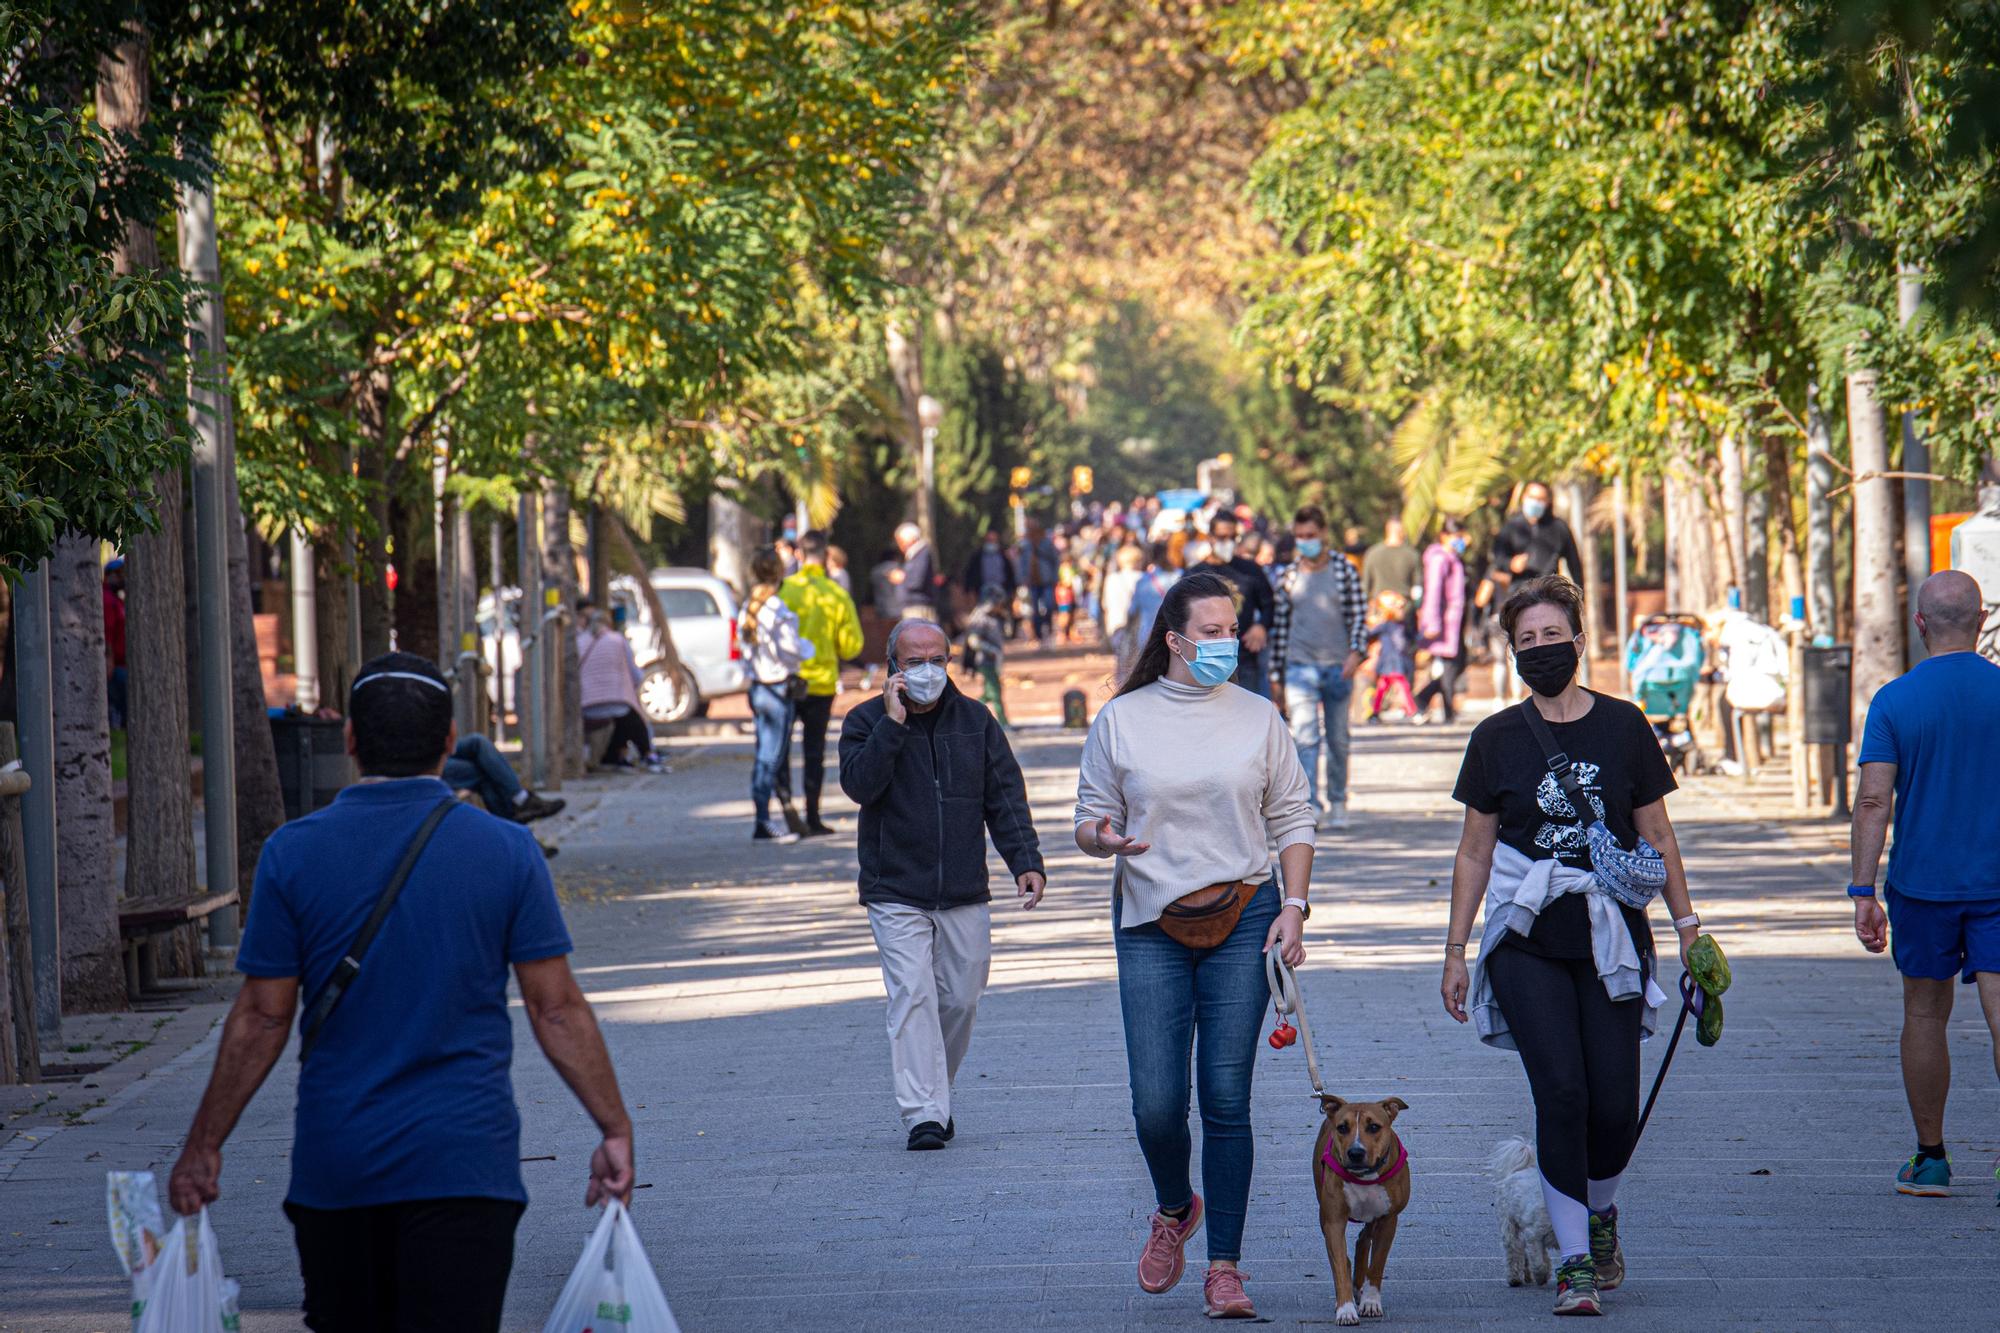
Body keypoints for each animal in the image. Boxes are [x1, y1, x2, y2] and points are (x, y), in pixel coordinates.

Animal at [1320, 1088, 1416, 1320]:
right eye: (1342, 1127)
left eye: (1374, 1127)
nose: (1355, 1153)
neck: (1364, 1176)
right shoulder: (1333, 1220)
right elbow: (1339, 1264)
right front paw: (1345, 1309)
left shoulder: (1388, 1220)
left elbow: (1377, 1264)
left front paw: (1371, 1302)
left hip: (1374, 1218)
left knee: (1363, 1239)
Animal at [1488, 1136, 1560, 1280]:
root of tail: (1520, 1170)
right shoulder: (1534, 1235)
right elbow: (1537, 1261)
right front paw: (1541, 1275)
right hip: (1508, 1224)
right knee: (1513, 1249)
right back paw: (1514, 1277)